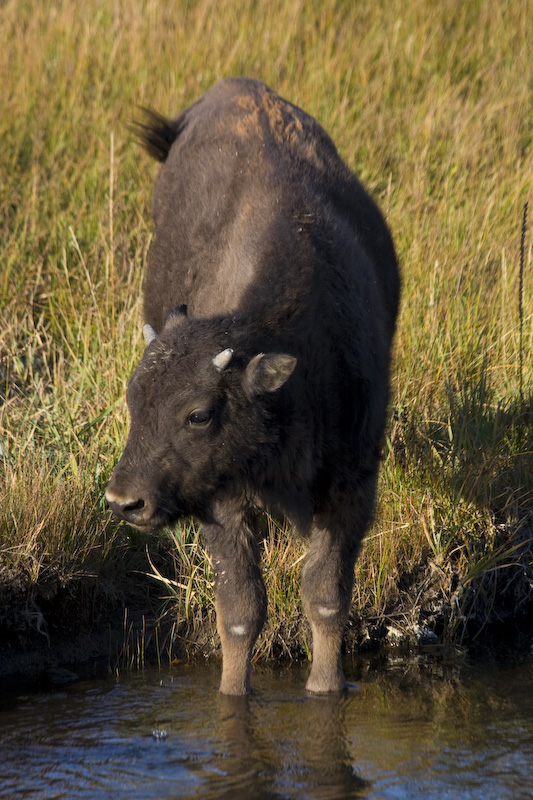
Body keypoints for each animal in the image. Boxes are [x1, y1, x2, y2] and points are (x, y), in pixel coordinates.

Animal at [106, 78, 400, 696]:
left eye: (199, 414)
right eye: (133, 402)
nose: (124, 502)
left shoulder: (352, 485)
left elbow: (326, 597)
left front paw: (325, 689)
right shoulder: (224, 501)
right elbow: (241, 609)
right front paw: (232, 694)